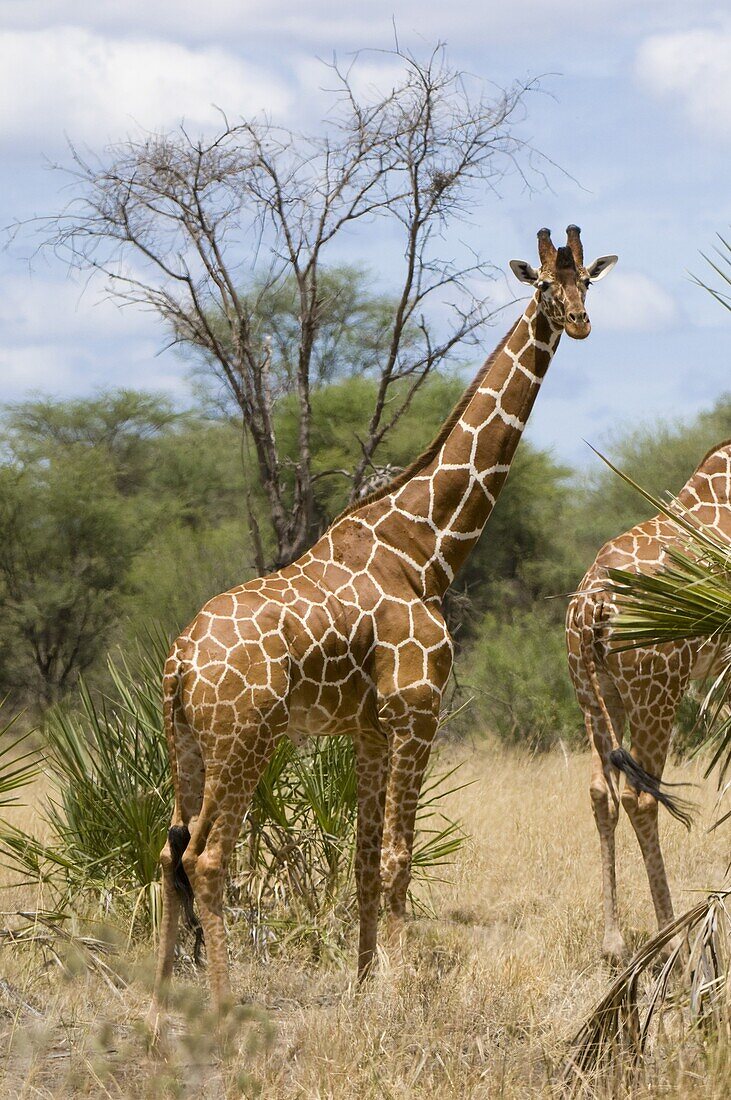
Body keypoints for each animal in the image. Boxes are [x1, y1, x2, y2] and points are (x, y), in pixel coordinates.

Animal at [148, 225, 615, 1020]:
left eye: (587, 279)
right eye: (545, 289)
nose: (581, 324)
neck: (424, 549)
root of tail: (180, 660)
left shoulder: (367, 726)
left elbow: (365, 856)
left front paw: (365, 979)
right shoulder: (418, 708)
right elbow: (400, 854)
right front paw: (399, 988)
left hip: (187, 743)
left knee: (168, 849)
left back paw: (159, 999)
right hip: (244, 740)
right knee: (207, 856)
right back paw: (223, 1003)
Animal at [567, 437, 729, 963]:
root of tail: (591, 606)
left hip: (597, 696)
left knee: (602, 792)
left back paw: (613, 944)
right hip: (656, 692)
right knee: (641, 797)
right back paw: (672, 938)